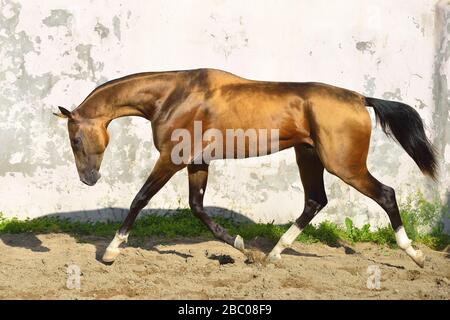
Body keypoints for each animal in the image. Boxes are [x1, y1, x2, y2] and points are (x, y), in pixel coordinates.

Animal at [53, 68, 436, 268]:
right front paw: (242, 247)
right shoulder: (197, 162)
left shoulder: (172, 158)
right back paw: (273, 254)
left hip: (345, 165)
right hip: (308, 156)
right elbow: (197, 207)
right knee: (315, 201)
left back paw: (415, 255)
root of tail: (361, 99)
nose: (88, 179)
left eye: (75, 139)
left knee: (386, 194)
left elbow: (140, 199)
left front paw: (111, 251)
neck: (173, 96)